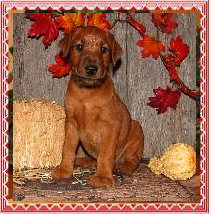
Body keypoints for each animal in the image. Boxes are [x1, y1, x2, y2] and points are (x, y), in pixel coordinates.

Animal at [51, 26, 144, 187]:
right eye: (79, 47)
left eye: (104, 49)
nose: (91, 69)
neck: (87, 93)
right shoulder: (71, 123)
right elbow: (67, 148)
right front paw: (64, 170)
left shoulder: (112, 125)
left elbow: (106, 153)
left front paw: (103, 177)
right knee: (95, 158)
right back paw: (85, 161)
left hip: (136, 130)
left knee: (132, 159)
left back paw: (122, 167)